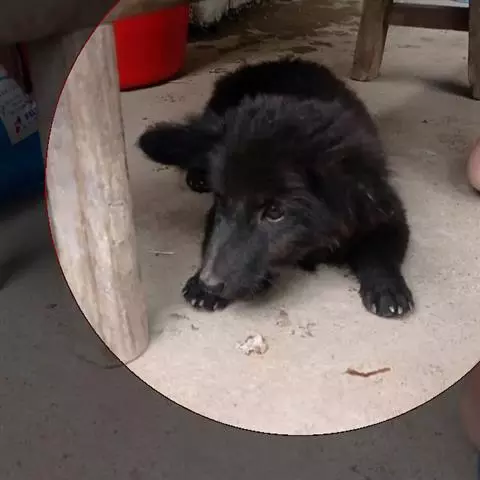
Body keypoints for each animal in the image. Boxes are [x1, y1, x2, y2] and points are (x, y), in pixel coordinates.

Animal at [138, 58, 414, 318]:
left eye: (274, 212)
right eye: (223, 199)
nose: (210, 283)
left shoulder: (384, 210)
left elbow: (379, 250)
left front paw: (387, 287)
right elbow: (212, 236)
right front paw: (201, 286)